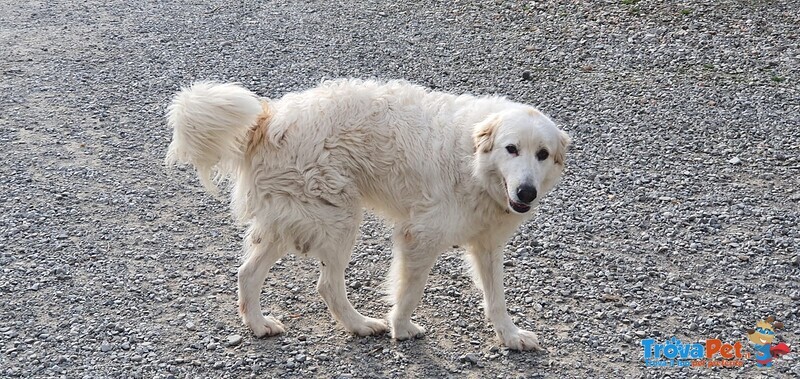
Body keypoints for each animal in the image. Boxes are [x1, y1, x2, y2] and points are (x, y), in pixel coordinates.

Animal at [166, 78, 572, 352]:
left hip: (291, 221)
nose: (526, 193)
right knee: (327, 285)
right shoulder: (419, 237)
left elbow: (496, 297)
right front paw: (401, 329)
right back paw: (360, 325)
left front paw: (510, 336)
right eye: (511, 148)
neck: (472, 158)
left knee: (247, 273)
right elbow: (410, 291)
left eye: (542, 154)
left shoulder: (487, 244)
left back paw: (257, 325)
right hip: (338, 218)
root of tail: (269, 119)